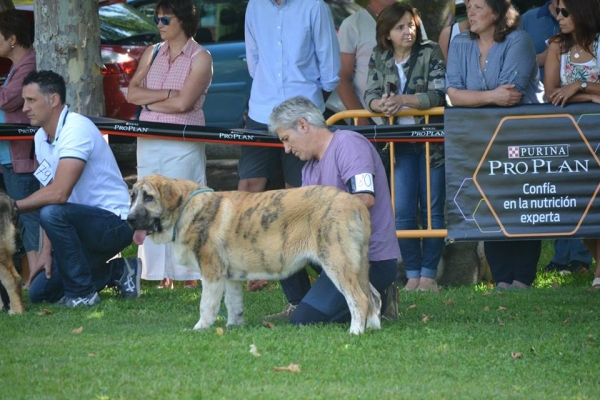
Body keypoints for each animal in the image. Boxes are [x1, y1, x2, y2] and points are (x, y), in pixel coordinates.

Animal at [127, 175, 380, 334]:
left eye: (148, 197)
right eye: (133, 197)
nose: (129, 219)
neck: (186, 208)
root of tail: (355, 202)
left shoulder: (212, 273)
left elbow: (206, 305)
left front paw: (200, 328)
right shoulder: (230, 277)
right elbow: (233, 304)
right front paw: (233, 327)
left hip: (337, 262)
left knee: (359, 299)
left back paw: (355, 332)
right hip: (356, 266)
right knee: (373, 297)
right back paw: (373, 328)